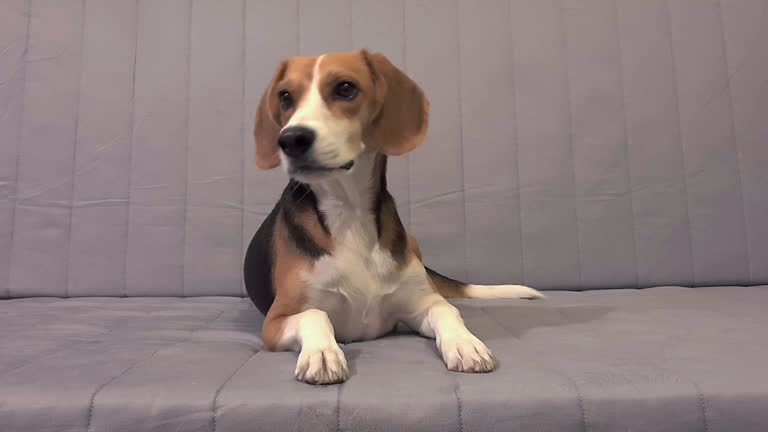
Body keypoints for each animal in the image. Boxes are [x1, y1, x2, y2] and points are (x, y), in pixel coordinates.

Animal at [243, 50, 544, 384]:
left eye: (345, 88)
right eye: (285, 96)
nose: (291, 139)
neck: (349, 210)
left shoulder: (417, 305)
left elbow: (446, 309)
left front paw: (466, 344)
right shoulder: (276, 321)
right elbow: (315, 314)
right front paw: (322, 353)